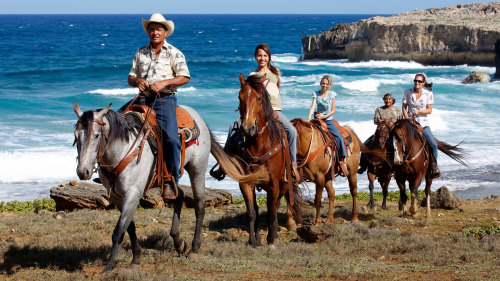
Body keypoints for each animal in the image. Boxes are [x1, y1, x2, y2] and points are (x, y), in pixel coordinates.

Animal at [73, 101, 266, 270]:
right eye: (76, 136)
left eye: (96, 135)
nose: (83, 172)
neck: (124, 150)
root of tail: (197, 116)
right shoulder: (118, 197)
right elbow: (130, 227)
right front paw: (136, 258)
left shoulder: (132, 194)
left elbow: (119, 231)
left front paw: (109, 267)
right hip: (170, 180)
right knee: (179, 195)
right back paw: (178, 242)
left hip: (197, 169)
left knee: (199, 205)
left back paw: (194, 248)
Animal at [226, 74, 302, 247]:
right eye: (239, 97)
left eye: (259, 98)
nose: (248, 128)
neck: (259, 145)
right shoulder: (246, 183)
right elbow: (251, 212)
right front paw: (253, 240)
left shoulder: (274, 184)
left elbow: (271, 212)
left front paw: (271, 239)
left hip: (284, 184)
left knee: (276, 205)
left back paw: (274, 233)